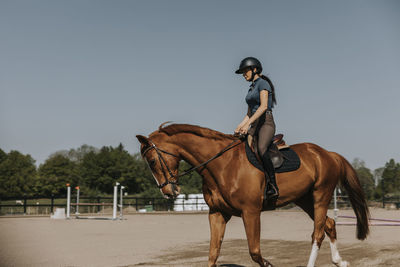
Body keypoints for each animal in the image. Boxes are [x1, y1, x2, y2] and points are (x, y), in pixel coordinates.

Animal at [135, 124, 368, 267]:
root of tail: (328, 154)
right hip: (305, 200)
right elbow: (213, 253)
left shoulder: (251, 212)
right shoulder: (217, 214)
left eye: (153, 161)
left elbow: (255, 251)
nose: (168, 192)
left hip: (321, 195)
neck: (221, 164)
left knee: (317, 233)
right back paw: (340, 261)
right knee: (329, 224)